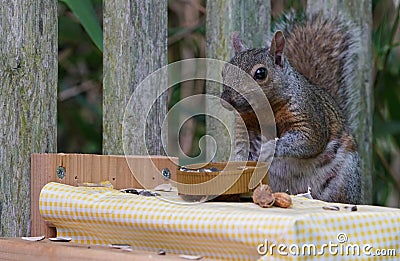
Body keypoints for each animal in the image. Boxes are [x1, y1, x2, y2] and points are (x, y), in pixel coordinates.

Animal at [220, 14, 364, 204]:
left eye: (260, 73)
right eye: (224, 71)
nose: (225, 100)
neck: (265, 110)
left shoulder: (308, 115)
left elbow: (307, 140)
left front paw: (269, 148)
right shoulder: (245, 125)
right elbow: (242, 148)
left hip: (343, 180)